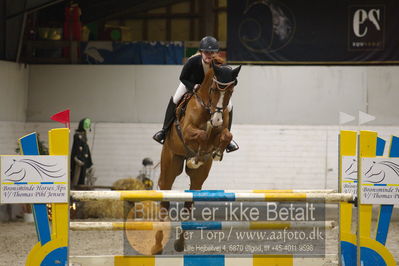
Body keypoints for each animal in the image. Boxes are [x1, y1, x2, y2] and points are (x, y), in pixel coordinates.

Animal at [152, 61, 242, 255]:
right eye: (214, 89)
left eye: (231, 91)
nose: (216, 120)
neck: (208, 108)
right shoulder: (187, 132)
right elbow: (201, 134)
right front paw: (203, 147)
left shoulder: (222, 129)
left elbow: (226, 136)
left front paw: (215, 151)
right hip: (171, 163)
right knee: (165, 197)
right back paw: (157, 245)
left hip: (198, 178)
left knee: (189, 202)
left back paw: (179, 243)